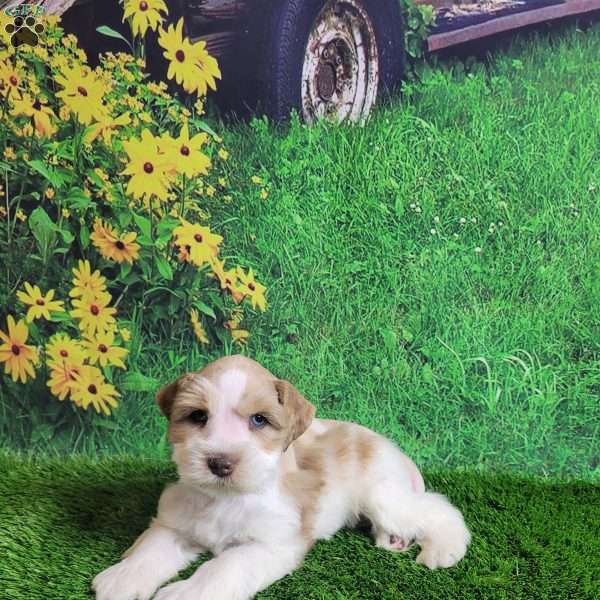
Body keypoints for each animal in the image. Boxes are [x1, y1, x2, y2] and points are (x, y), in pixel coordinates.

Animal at [92, 356, 468, 600]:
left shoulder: (270, 545)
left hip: (384, 498)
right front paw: (123, 577)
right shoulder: (176, 525)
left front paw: (186, 593)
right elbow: (151, 548)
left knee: (438, 510)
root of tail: (393, 448)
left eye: (259, 420)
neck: (227, 498)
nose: (220, 463)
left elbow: (222, 567)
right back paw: (394, 540)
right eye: (198, 416)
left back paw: (444, 549)